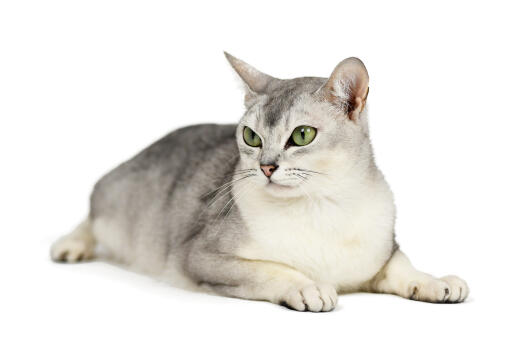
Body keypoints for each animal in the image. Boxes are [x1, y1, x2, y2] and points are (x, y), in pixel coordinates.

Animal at [51, 52, 468, 310]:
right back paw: (71, 245)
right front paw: (307, 286)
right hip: (116, 198)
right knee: (93, 214)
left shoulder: (382, 252)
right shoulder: (202, 257)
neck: (321, 207)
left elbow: (402, 266)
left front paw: (436, 282)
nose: (267, 167)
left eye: (302, 135)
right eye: (251, 137)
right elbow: (269, 269)